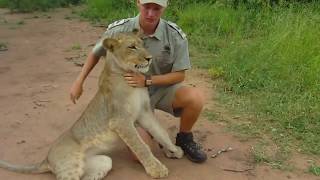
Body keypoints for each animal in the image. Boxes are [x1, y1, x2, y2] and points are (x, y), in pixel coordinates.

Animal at [0, 28, 184, 179]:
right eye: (132, 47)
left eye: (142, 44)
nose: (149, 58)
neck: (129, 77)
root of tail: (46, 158)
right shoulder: (120, 120)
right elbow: (141, 146)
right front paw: (157, 170)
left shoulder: (144, 112)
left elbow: (160, 132)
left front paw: (175, 150)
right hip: (70, 165)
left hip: (103, 161)